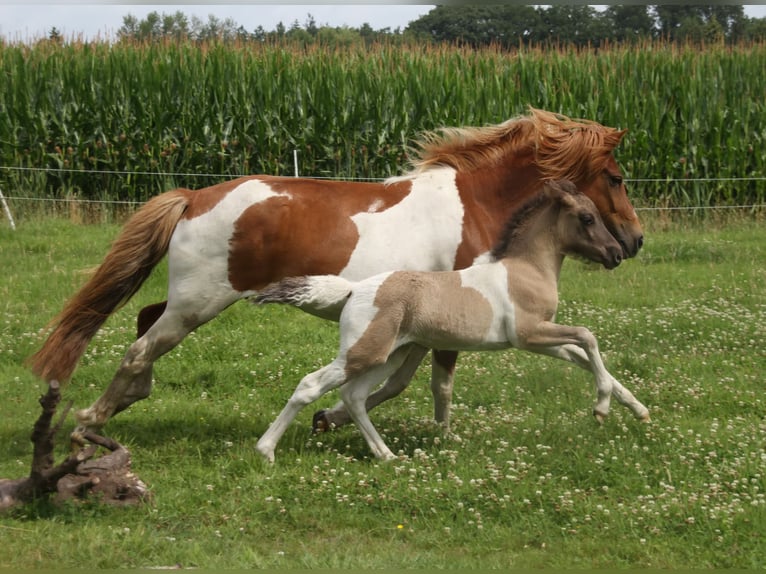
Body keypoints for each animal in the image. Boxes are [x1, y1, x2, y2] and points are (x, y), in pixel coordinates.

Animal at [27, 107, 644, 436]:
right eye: (614, 178)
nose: (634, 242)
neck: (477, 205)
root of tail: (195, 195)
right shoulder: (461, 318)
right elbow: (437, 383)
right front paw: (439, 435)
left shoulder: (432, 325)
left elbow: (399, 380)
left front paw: (633, 407)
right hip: (200, 301)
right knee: (141, 344)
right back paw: (90, 419)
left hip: (193, 299)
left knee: (143, 320)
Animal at [253, 180, 650, 462]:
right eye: (587, 218)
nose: (617, 253)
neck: (526, 270)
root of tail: (352, 290)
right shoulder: (529, 334)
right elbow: (588, 336)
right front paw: (601, 409)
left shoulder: (541, 340)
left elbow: (584, 356)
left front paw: (638, 410)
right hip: (362, 352)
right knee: (312, 385)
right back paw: (266, 450)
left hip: (387, 355)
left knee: (354, 395)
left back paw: (386, 455)